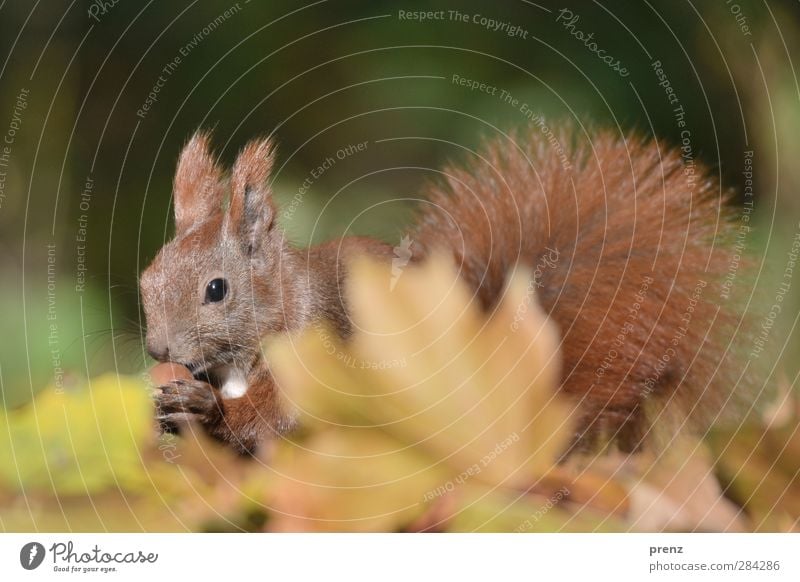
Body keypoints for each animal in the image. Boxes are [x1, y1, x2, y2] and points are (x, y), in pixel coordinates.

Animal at [142, 128, 752, 456]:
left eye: (216, 289)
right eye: (148, 276)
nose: (156, 351)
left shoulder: (321, 351)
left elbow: (278, 415)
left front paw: (204, 409)